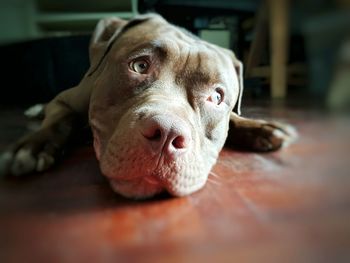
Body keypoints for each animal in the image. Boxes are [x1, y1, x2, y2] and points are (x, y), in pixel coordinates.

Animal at [0, 14, 296, 199]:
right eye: (140, 65)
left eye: (217, 97)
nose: (166, 134)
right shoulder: (66, 100)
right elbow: (60, 120)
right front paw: (34, 145)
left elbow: (235, 118)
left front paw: (261, 127)